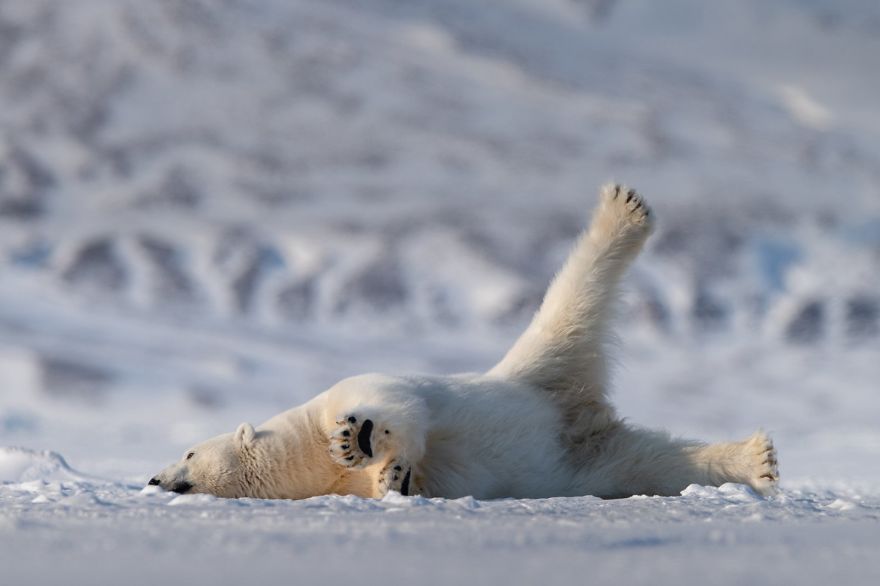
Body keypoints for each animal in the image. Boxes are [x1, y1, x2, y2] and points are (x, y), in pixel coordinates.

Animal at [149, 185, 779, 500]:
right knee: (651, 463)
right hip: (583, 451)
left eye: (189, 452)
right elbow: (402, 483)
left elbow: (397, 406)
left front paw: (360, 439)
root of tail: (574, 412)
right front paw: (393, 478)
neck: (304, 456)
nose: (155, 479)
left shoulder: (347, 391)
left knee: (572, 298)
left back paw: (621, 211)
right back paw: (757, 460)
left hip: (538, 362)